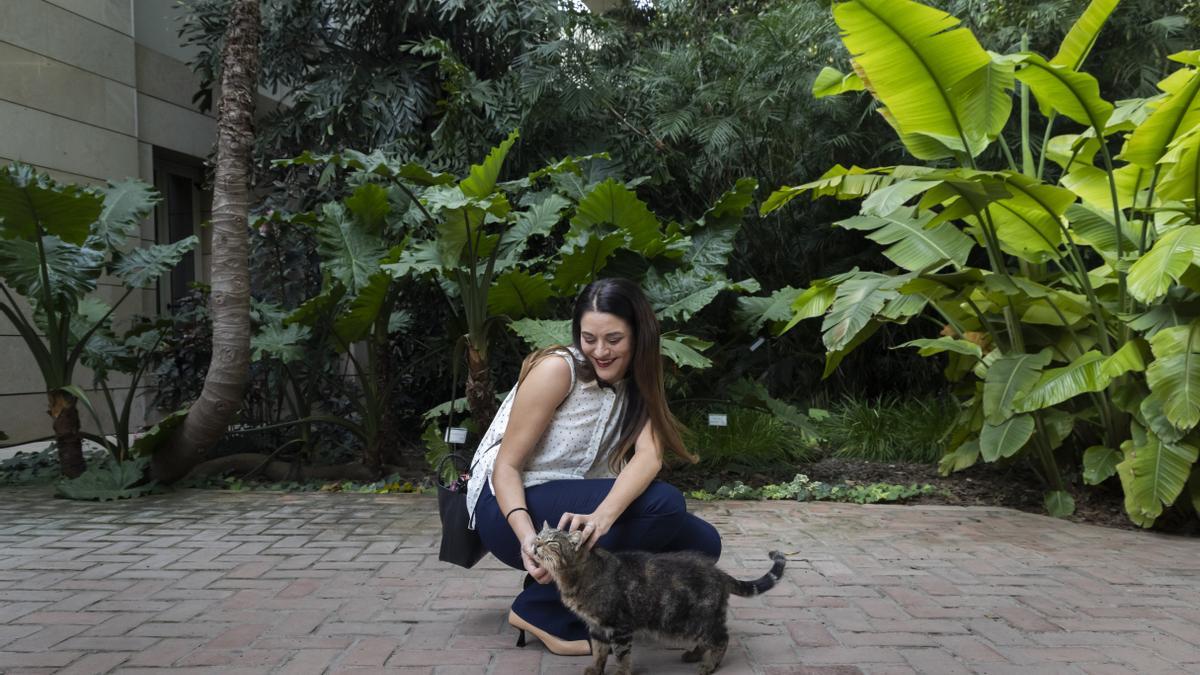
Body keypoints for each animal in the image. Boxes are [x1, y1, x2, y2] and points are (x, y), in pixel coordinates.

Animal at [532, 521, 787, 672]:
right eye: (538, 536)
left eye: (551, 541)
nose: (534, 544)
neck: (573, 577)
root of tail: (719, 572)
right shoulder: (596, 626)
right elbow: (599, 652)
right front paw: (595, 669)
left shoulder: (619, 625)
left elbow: (622, 656)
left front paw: (621, 672)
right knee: (708, 640)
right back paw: (694, 655)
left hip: (697, 619)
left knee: (720, 639)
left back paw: (708, 665)